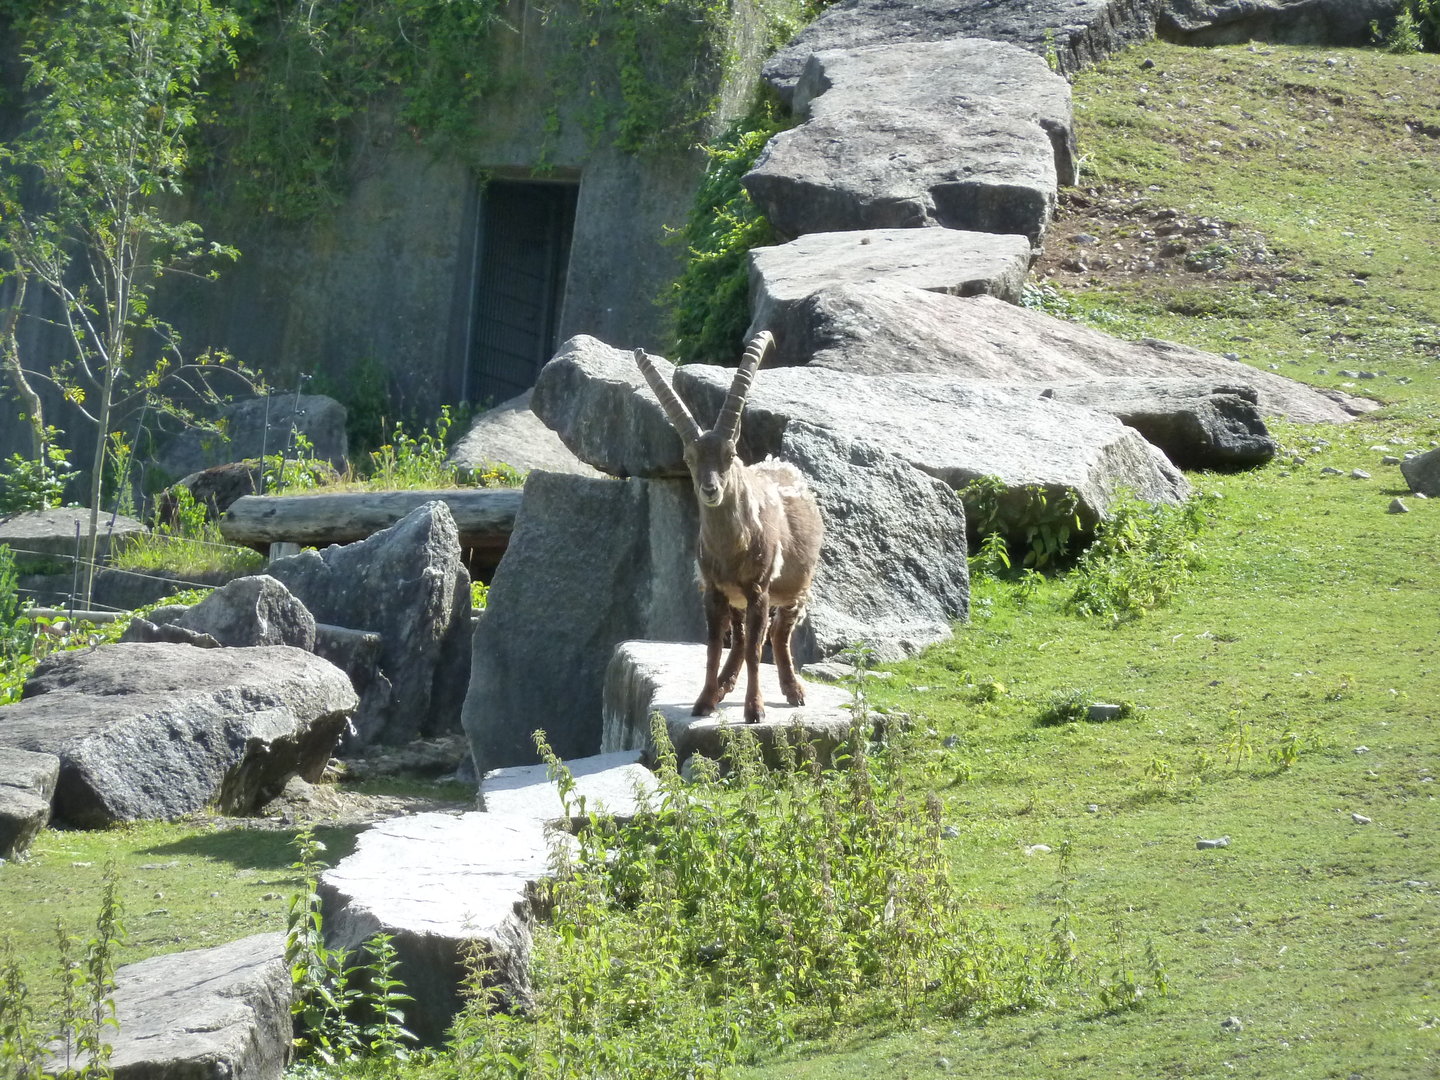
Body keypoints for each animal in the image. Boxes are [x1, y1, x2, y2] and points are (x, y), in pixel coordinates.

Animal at [634, 331, 824, 723]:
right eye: (689, 458)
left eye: (730, 454)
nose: (710, 489)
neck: (731, 548)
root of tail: (785, 466)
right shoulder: (714, 591)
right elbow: (712, 648)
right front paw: (704, 701)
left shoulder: (758, 590)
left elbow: (755, 650)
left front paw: (755, 710)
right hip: (737, 601)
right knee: (738, 639)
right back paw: (724, 685)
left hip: (795, 589)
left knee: (776, 634)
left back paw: (793, 690)